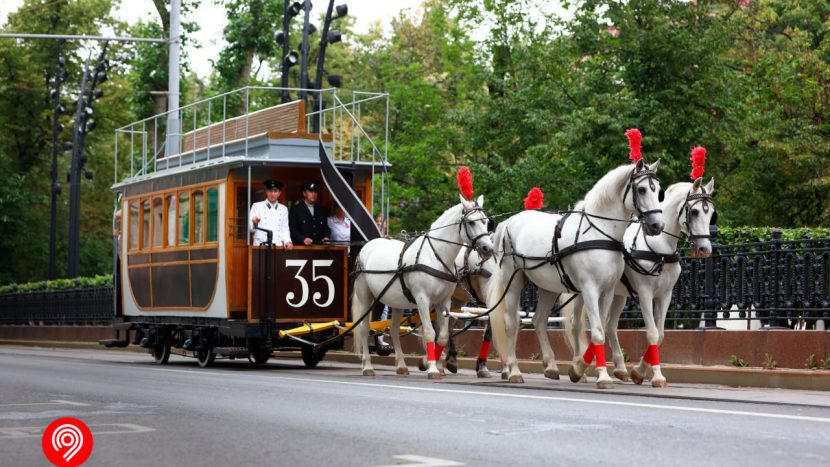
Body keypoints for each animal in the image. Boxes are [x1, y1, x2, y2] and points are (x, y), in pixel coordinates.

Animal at [352, 195, 500, 380]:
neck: (435, 255)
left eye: (486, 221)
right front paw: (432, 368)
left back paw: (402, 366)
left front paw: (433, 363)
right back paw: (367, 366)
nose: (488, 249)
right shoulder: (422, 300)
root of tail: (367, 245)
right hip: (366, 297)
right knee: (364, 328)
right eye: (471, 222)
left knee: (393, 330)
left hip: (394, 301)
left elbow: (442, 335)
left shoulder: (444, 301)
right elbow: (430, 332)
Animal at [494, 161, 664, 388]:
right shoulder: (590, 289)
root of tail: (509, 221)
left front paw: (579, 369)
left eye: (658, 190)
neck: (598, 232)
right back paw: (514, 371)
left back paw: (551, 366)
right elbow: (599, 333)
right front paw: (602, 376)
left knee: (539, 320)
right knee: (511, 323)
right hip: (512, 281)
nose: (657, 225)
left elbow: (599, 329)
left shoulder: (607, 291)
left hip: (548, 287)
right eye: (643, 189)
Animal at [568, 177, 720, 386]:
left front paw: (640, 371)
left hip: (618, 296)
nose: (705, 249)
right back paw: (579, 368)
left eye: (712, 213)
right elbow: (652, 332)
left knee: (610, 326)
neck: (660, 248)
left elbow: (661, 334)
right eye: (695, 211)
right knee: (576, 325)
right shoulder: (645, 293)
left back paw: (620, 368)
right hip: (581, 293)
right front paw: (654, 374)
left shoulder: (665, 295)